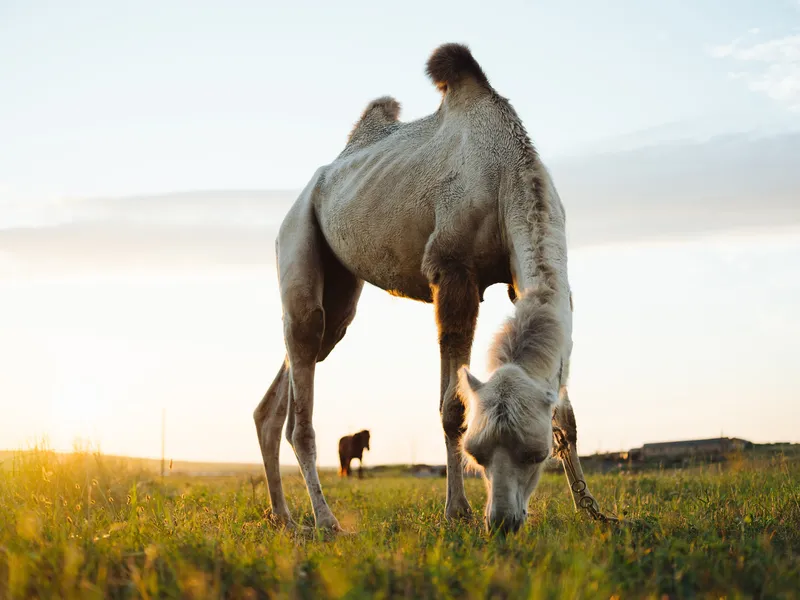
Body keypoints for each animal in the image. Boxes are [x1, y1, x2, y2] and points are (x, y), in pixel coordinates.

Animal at [253, 43, 615, 534]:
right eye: (478, 454)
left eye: (536, 454)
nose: (502, 522)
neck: (506, 172)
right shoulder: (452, 271)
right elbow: (454, 409)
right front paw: (456, 511)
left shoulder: (519, 281)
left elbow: (565, 413)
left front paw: (591, 510)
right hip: (297, 235)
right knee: (303, 375)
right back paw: (326, 522)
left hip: (340, 291)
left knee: (291, 376)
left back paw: (285, 518)